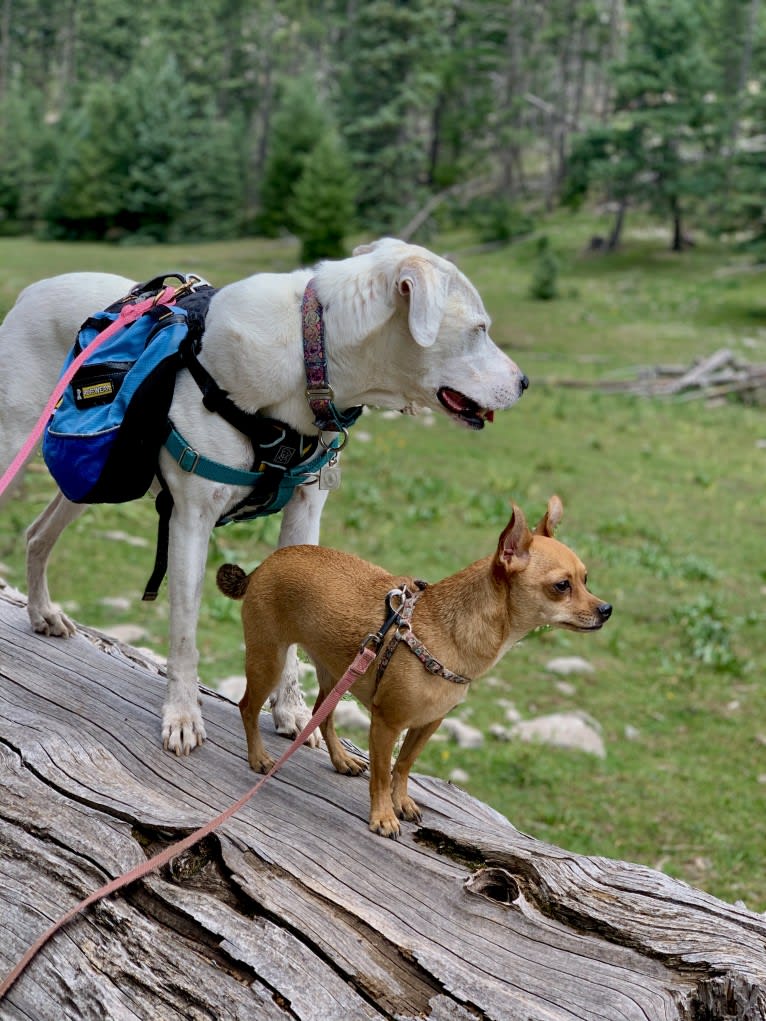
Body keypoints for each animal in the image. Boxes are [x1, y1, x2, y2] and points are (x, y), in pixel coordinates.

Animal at [0, 236, 527, 751]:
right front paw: (183, 716)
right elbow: (185, 633)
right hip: (16, 445)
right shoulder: (189, 520)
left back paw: (43, 613)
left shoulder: (303, 513)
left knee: (37, 535)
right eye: (479, 329)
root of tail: (29, 292)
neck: (312, 355)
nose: (524, 383)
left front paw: (291, 710)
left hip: (94, 478)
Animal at [216, 494, 612, 837]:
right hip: (269, 661)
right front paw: (382, 817)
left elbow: (403, 765)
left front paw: (401, 801)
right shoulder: (386, 724)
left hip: (336, 673)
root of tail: (265, 565)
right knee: (248, 707)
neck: (450, 629)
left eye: (586, 580)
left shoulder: (429, 723)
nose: (606, 610)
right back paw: (259, 758)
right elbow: (381, 774)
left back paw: (342, 760)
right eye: (561, 586)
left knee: (321, 715)